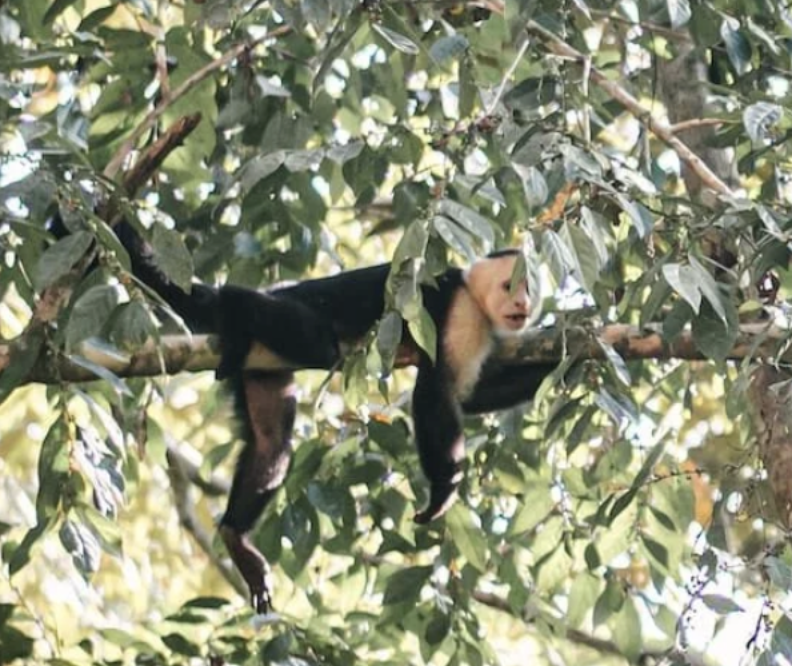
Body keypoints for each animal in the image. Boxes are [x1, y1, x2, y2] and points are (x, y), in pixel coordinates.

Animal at [110, 222, 556, 612]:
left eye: (529, 289)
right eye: (510, 285)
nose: (523, 305)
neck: (472, 295)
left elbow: (470, 396)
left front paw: (564, 363)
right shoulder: (459, 312)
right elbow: (434, 391)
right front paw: (444, 490)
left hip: (261, 364)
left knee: (272, 442)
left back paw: (235, 535)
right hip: (288, 314)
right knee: (314, 341)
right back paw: (234, 302)